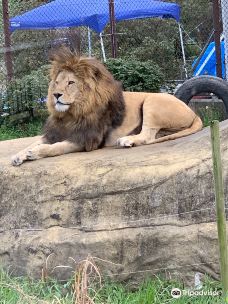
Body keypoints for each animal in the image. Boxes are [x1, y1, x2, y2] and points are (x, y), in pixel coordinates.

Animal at [11, 47, 202, 166]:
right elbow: (33, 143)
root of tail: (193, 113)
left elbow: (55, 147)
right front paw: (18, 155)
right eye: (56, 83)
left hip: (152, 101)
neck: (70, 114)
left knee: (148, 136)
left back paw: (127, 140)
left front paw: (35, 153)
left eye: (71, 83)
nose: (55, 95)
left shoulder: (86, 139)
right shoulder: (56, 132)